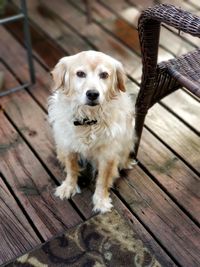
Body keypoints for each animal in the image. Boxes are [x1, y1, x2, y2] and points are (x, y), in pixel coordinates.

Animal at [48, 49, 135, 214]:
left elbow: (102, 180)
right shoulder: (68, 146)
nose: (93, 94)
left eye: (104, 75)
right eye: (80, 73)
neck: (88, 120)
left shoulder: (108, 155)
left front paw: (101, 201)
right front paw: (68, 187)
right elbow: (71, 169)